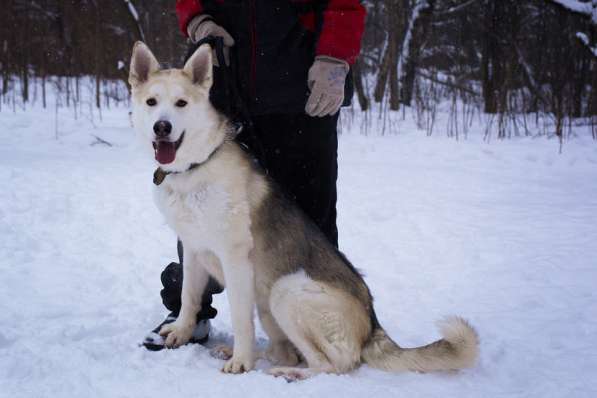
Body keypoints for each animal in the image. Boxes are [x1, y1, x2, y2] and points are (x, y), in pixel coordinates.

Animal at [128, 42, 478, 380]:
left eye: (181, 104)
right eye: (152, 102)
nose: (162, 127)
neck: (195, 168)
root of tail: (373, 328)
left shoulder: (235, 259)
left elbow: (241, 320)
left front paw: (241, 362)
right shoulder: (193, 249)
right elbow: (189, 297)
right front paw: (181, 332)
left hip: (285, 291)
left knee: (334, 364)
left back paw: (288, 373)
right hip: (270, 304)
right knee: (286, 351)